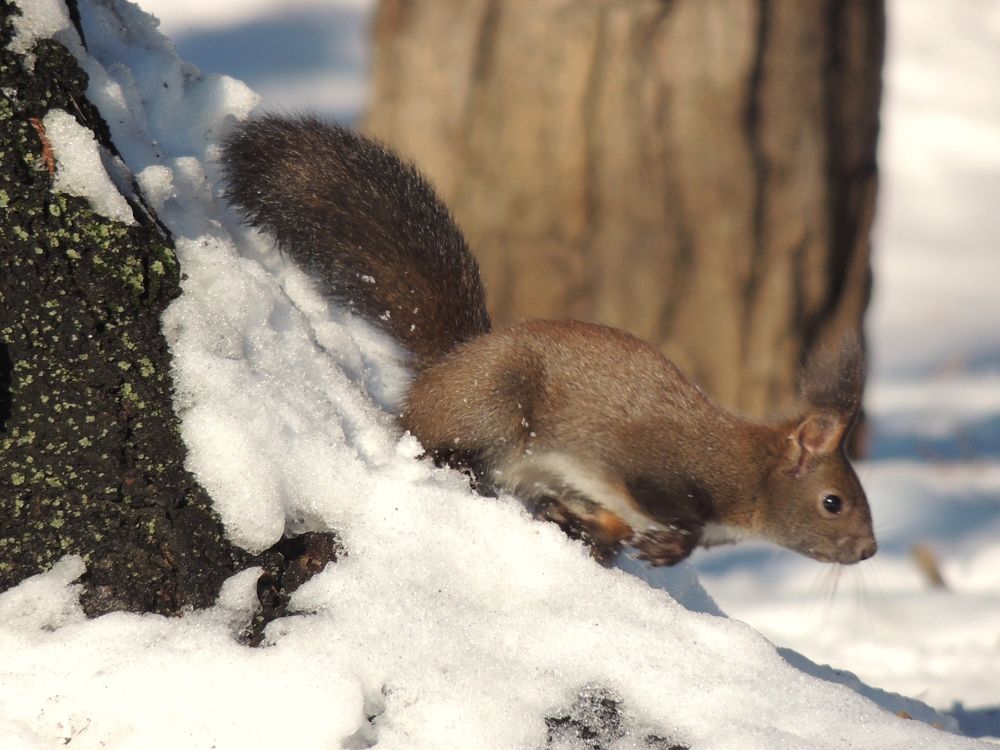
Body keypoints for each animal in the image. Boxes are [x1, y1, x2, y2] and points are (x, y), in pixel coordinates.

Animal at [221, 115, 877, 567]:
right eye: (834, 501)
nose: (868, 550)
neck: (741, 472)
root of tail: (448, 367)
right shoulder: (652, 466)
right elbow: (662, 502)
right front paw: (671, 548)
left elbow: (608, 523)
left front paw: (600, 536)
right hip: (493, 403)